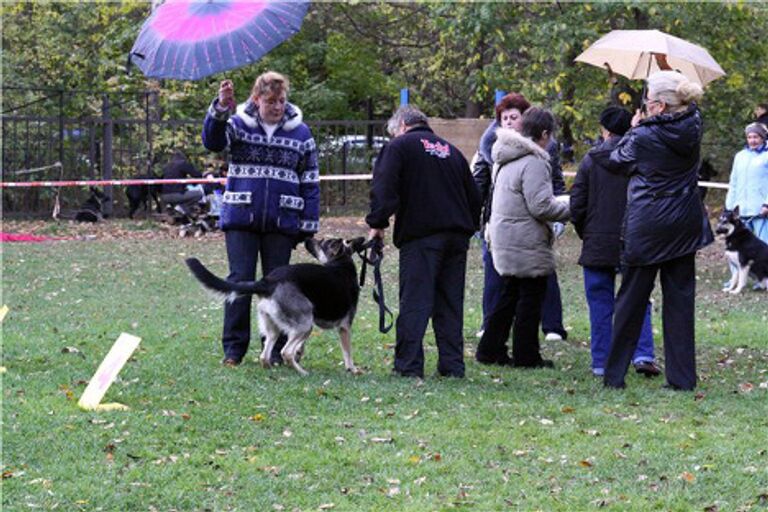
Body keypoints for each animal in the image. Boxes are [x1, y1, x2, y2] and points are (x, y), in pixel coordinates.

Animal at [186, 237, 366, 376]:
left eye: (321, 242)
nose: (307, 239)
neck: (341, 262)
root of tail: (267, 282)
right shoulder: (345, 328)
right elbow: (348, 353)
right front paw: (353, 369)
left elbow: (300, 348)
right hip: (305, 325)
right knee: (285, 352)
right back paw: (302, 372)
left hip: (274, 328)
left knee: (265, 356)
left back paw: (272, 370)